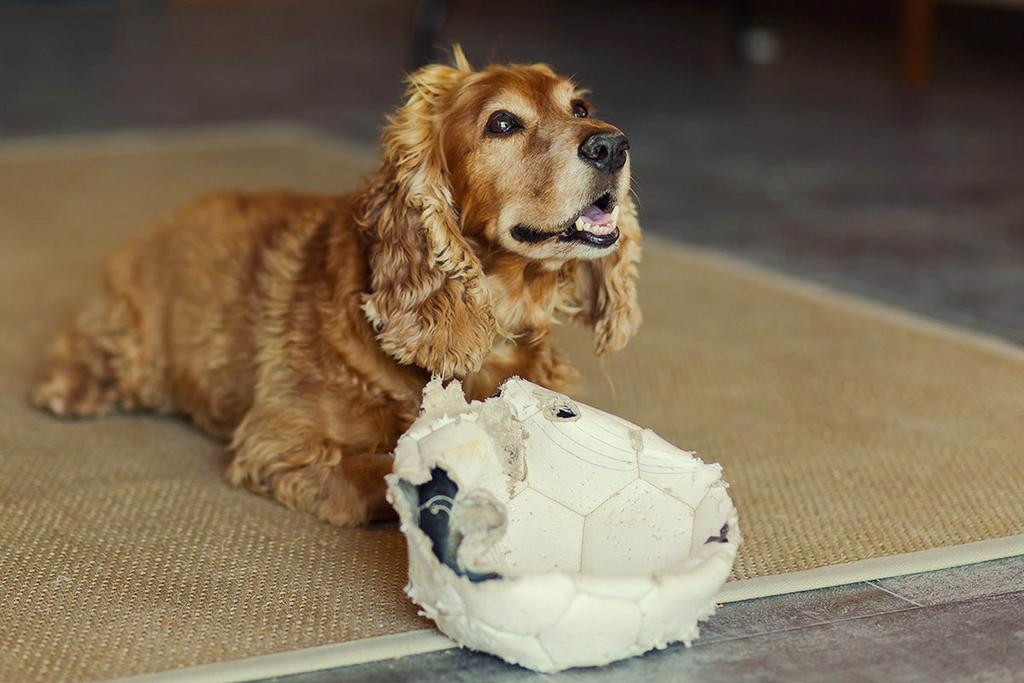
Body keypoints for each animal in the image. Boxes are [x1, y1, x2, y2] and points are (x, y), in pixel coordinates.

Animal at [32, 48, 638, 528]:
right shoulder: (280, 443)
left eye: (579, 109)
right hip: (135, 341)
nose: (612, 145)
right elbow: (386, 468)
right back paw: (73, 388)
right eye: (503, 123)